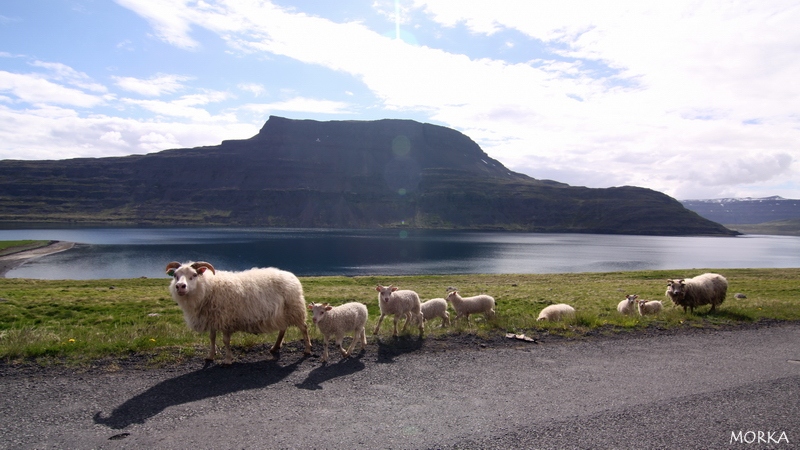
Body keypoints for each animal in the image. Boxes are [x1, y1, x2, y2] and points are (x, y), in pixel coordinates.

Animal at [166, 262, 312, 364]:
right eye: (175, 276)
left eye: (194, 275)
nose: (180, 286)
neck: (208, 287)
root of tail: (291, 276)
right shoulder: (213, 318)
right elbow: (212, 338)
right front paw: (210, 356)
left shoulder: (225, 319)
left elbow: (225, 341)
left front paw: (228, 360)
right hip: (282, 312)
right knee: (283, 328)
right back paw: (275, 347)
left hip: (295, 309)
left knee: (304, 328)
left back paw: (307, 349)